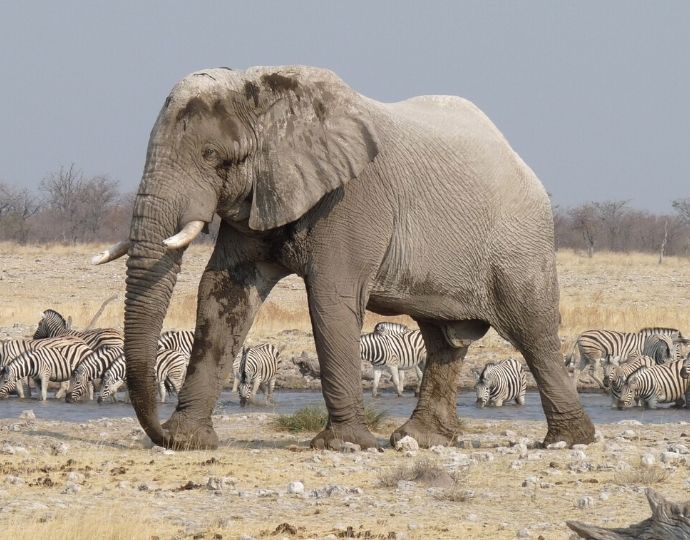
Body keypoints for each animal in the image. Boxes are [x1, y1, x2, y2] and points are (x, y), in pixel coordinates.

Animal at [94, 63, 592, 452]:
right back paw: (420, 439)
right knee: (444, 339)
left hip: (521, 242)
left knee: (533, 332)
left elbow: (331, 297)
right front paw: (187, 442)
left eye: (212, 155)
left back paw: (568, 441)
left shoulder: (351, 198)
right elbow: (223, 291)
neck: (266, 93)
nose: (158, 432)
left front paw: (345, 445)